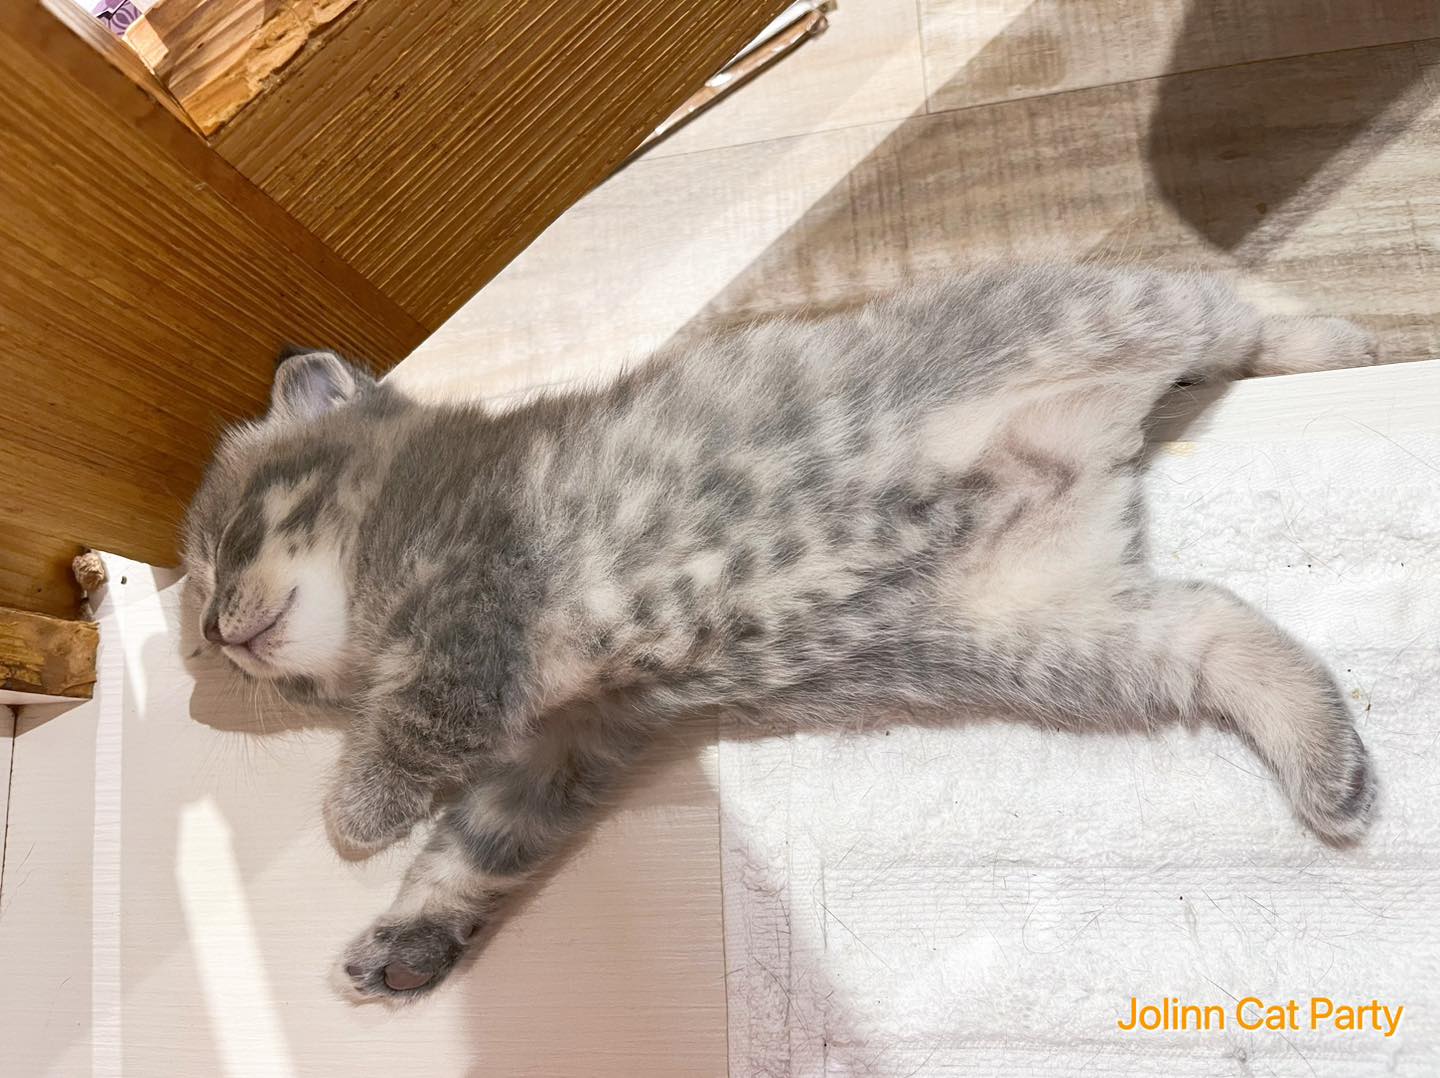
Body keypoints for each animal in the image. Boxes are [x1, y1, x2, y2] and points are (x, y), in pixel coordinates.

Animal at [182, 263, 1379, 1000]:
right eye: (194, 625)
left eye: (224, 549)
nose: (212, 635)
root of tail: (1090, 457)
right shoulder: (567, 743)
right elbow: (473, 847)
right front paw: (409, 939)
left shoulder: (476, 592)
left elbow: (417, 722)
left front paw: (353, 812)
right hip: (1066, 635)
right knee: (1219, 626)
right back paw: (1331, 765)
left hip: (1107, 313)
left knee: (1220, 304)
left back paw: (1338, 340)